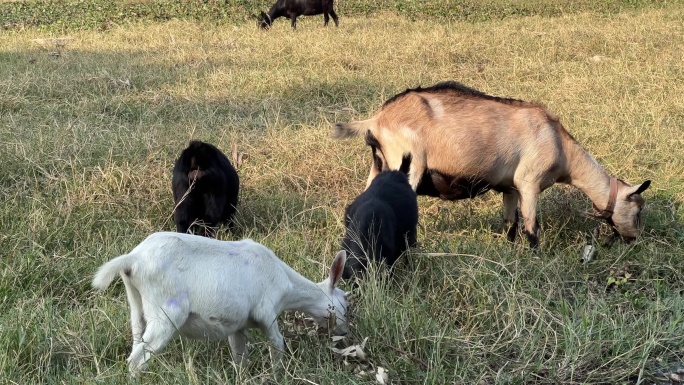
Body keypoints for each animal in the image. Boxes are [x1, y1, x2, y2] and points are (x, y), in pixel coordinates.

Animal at [92, 231, 348, 376]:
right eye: (346, 302)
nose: (345, 333)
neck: (287, 286)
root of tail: (133, 259)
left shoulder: (238, 325)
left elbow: (240, 358)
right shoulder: (266, 314)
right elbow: (277, 345)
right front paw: (278, 375)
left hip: (137, 306)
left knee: (136, 343)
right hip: (167, 313)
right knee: (136, 361)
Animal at [336, 82, 652, 248]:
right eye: (637, 210)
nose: (634, 240)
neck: (561, 147)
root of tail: (377, 119)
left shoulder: (510, 187)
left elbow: (510, 221)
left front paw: (510, 248)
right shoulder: (529, 181)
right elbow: (531, 225)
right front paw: (536, 255)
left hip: (379, 164)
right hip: (407, 165)